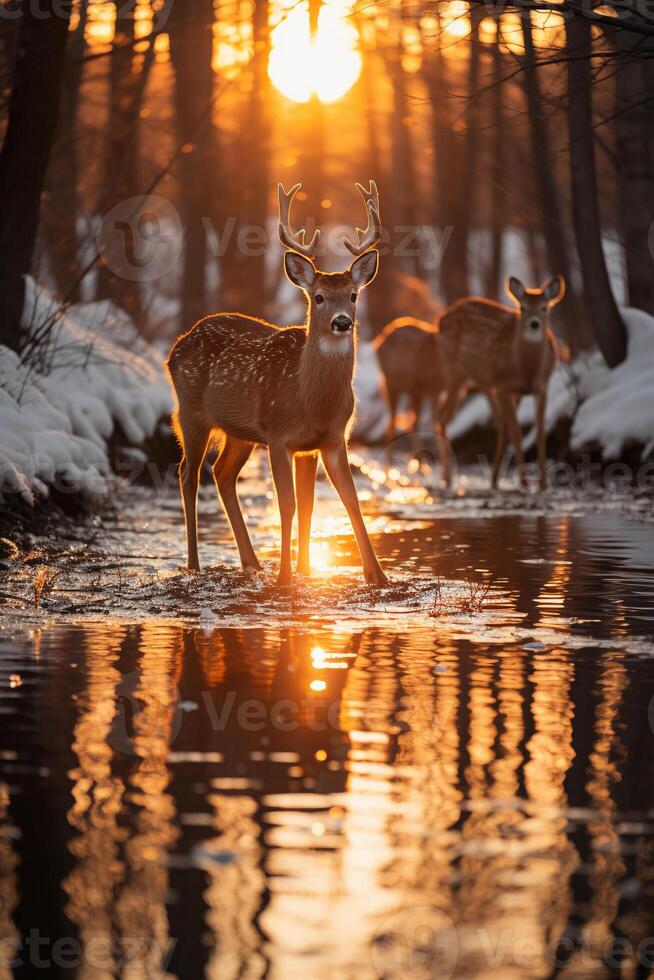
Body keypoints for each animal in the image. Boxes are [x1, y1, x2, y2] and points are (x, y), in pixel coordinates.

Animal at [167, 181, 390, 584]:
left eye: (353, 295)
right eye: (318, 297)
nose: (342, 322)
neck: (310, 401)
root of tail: (178, 344)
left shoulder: (329, 440)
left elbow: (338, 501)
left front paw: (372, 576)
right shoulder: (278, 434)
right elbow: (287, 504)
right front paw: (286, 576)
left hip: (239, 431)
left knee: (221, 473)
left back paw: (252, 563)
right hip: (190, 413)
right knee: (187, 474)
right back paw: (194, 564)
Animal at [436, 276, 568, 490]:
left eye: (545, 307)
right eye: (522, 307)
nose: (534, 324)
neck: (526, 371)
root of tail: (440, 318)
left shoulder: (540, 387)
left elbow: (539, 430)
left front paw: (543, 484)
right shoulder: (504, 385)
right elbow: (516, 430)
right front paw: (524, 482)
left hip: (479, 380)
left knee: (496, 422)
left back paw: (493, 479)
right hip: (453, 370)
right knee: (442, 415)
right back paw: (448, 478)